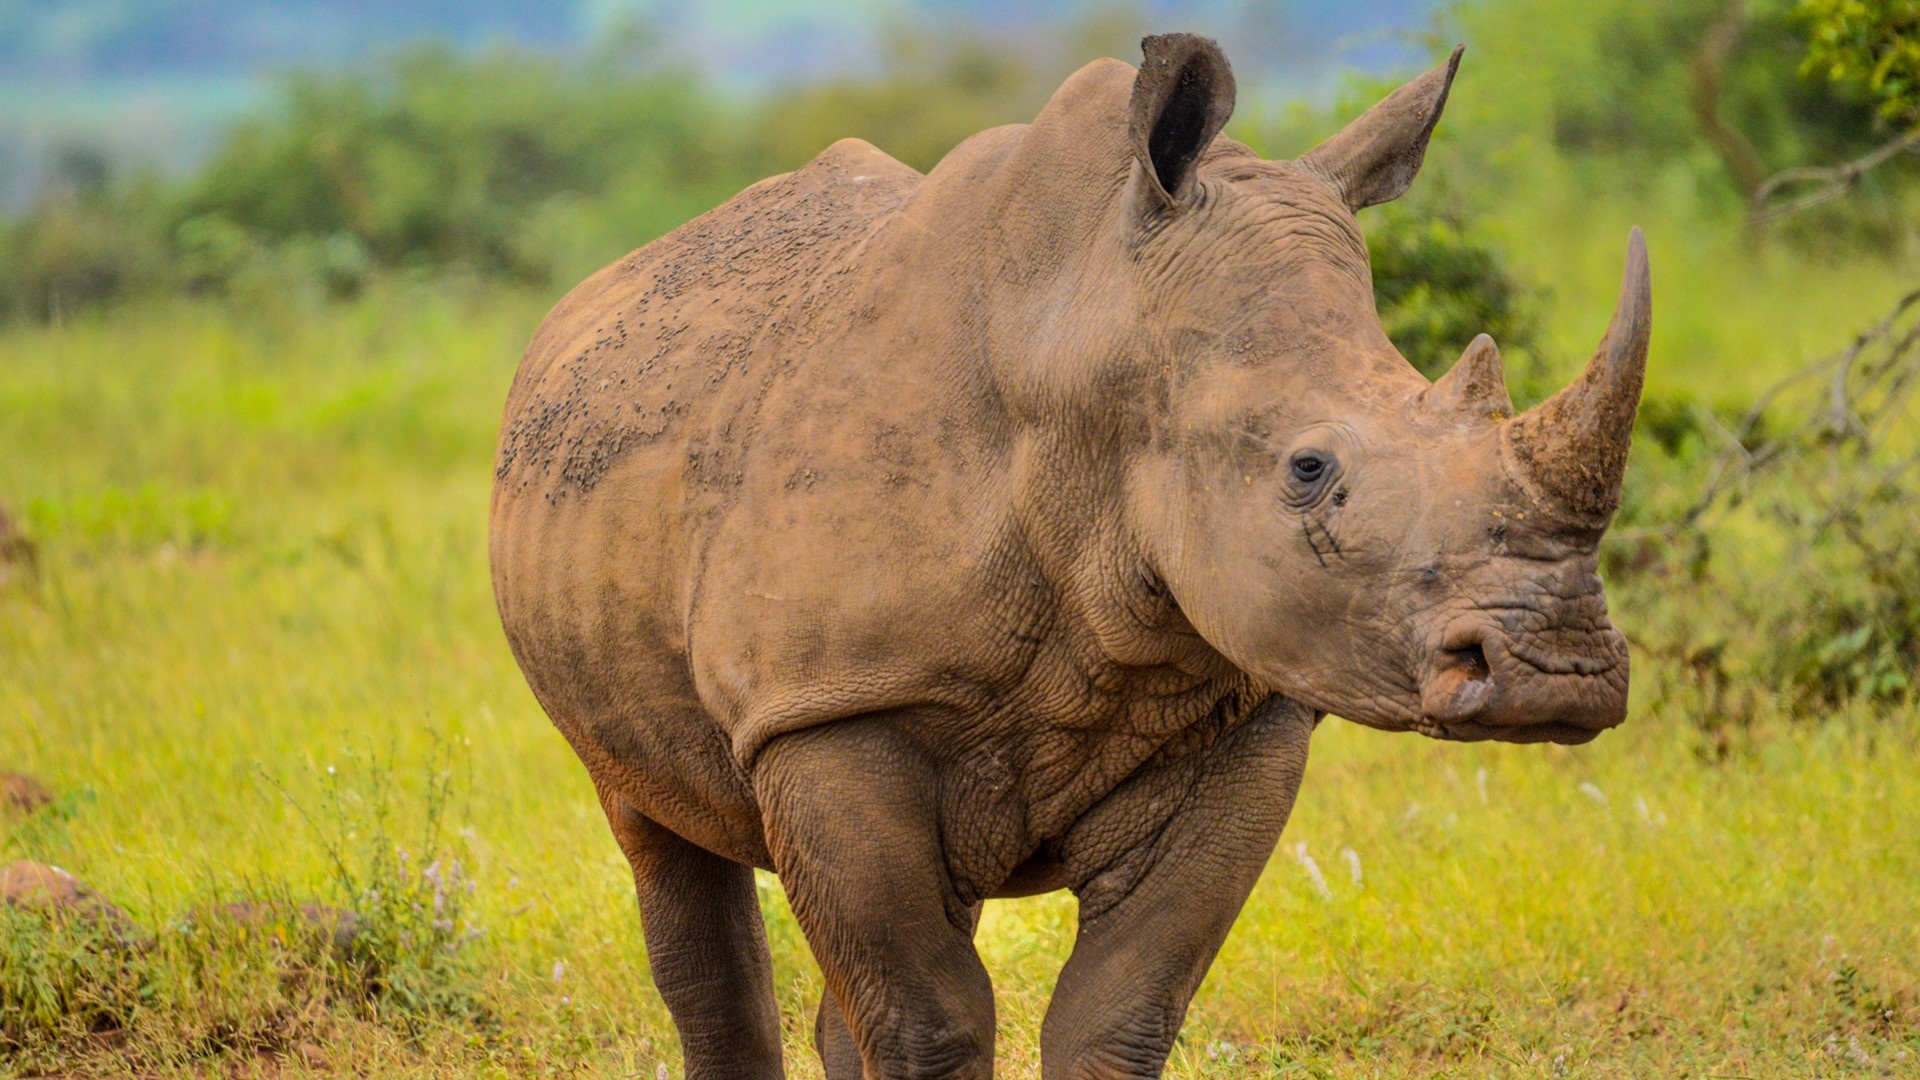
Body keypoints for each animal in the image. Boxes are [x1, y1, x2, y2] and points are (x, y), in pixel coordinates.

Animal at [491, 33, 1651, 1076]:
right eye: (1309, 470)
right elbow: (929, 1022)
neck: (1092, 345)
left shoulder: (1251, 718)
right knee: (661, 843)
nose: (1558, 672)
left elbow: (1121, 1011)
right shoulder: (825, 702)